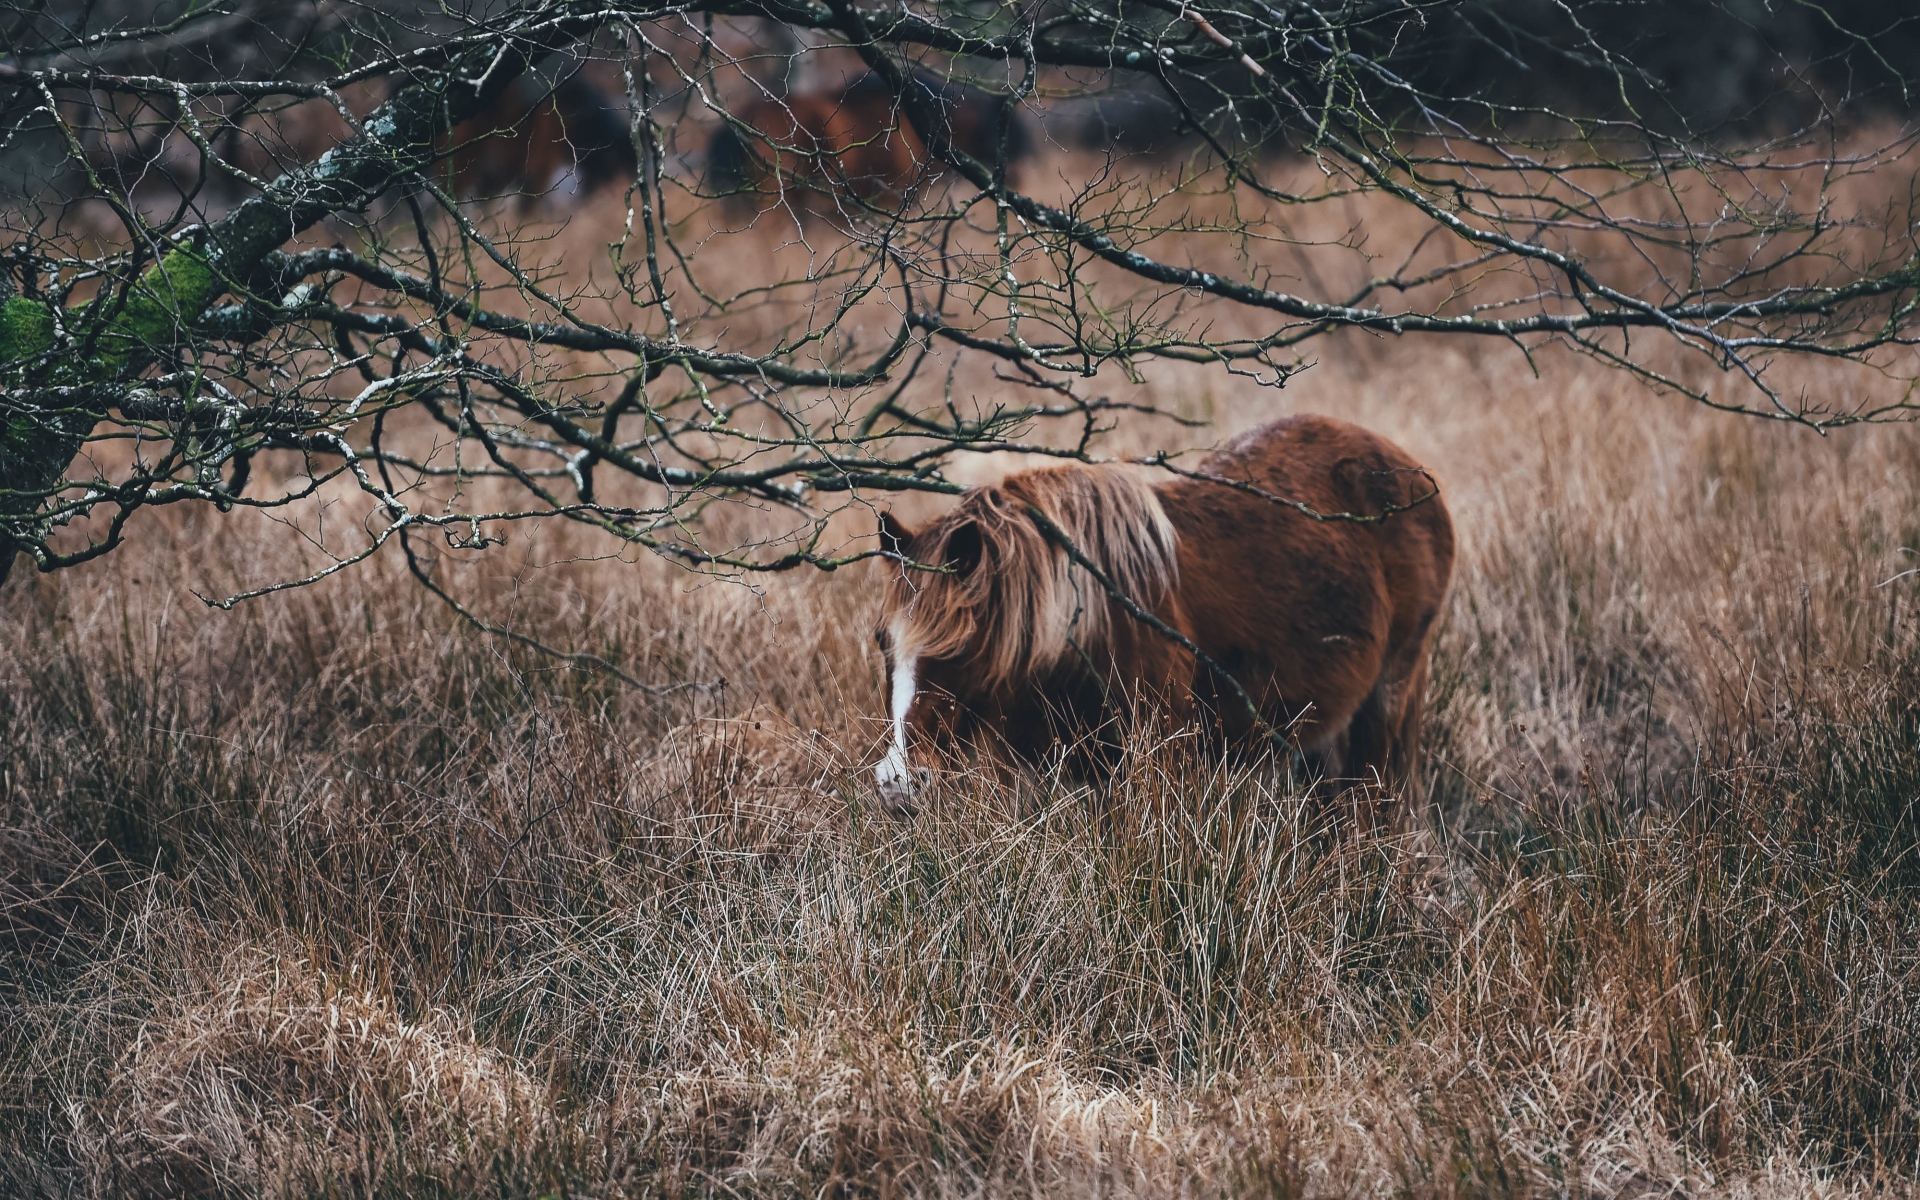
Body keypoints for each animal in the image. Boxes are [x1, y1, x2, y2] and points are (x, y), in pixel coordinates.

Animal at [871, 414, 1455, 817]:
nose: (899, 782)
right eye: (881, 641)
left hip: (1390, 695)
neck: (1087, 625)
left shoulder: (1156, 763)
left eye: (959, 648)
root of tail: (1414, 475)